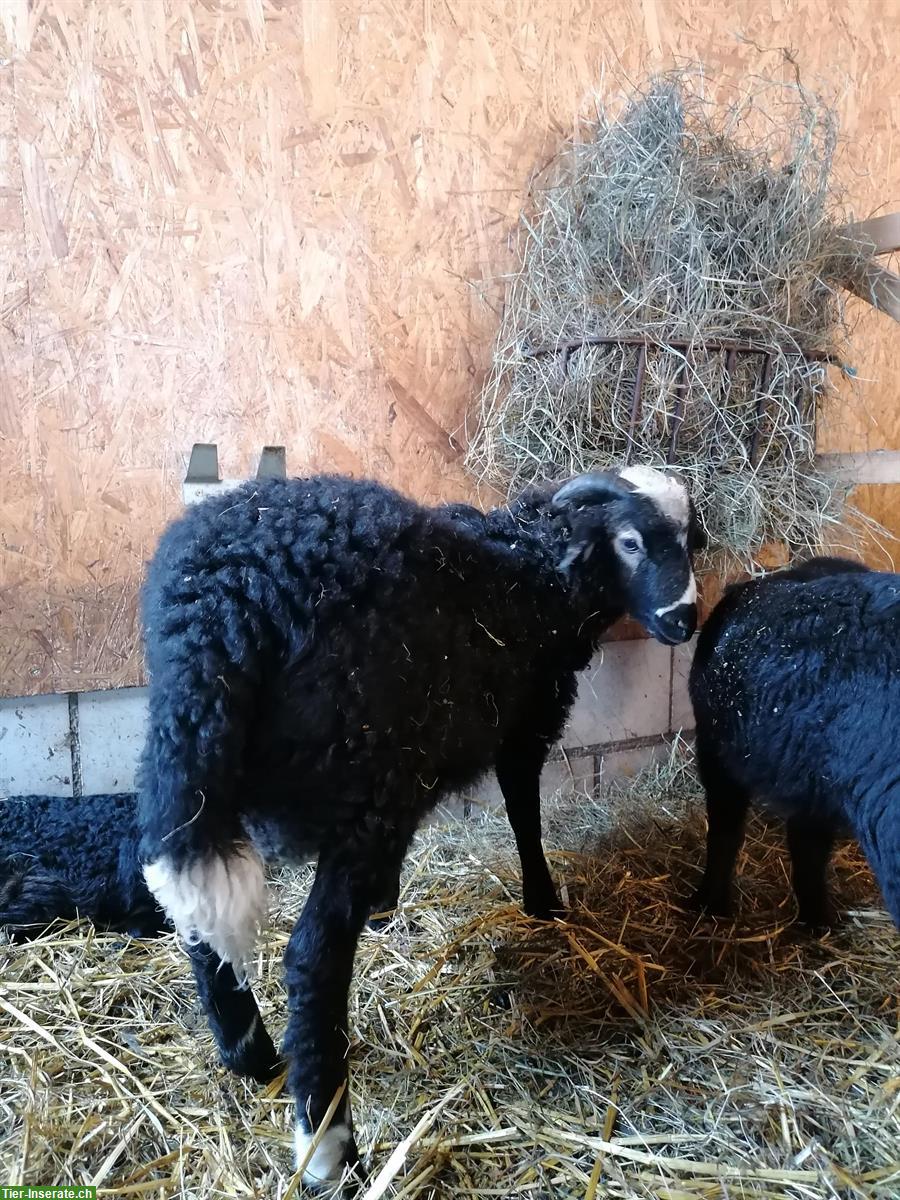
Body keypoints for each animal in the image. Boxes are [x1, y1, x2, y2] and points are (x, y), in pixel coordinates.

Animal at [139, 463, 705, 1185]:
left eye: (691, 542)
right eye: (631, 542)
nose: (684, 617)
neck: (533, 568)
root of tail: (224, 605)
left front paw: (385, 906)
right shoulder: (523, 722)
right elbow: (524, 811)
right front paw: (544, 902)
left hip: (197, 759)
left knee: (191, 906)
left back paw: (252, 1055)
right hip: (364, 762)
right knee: (312, 958)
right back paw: (328, 1146)